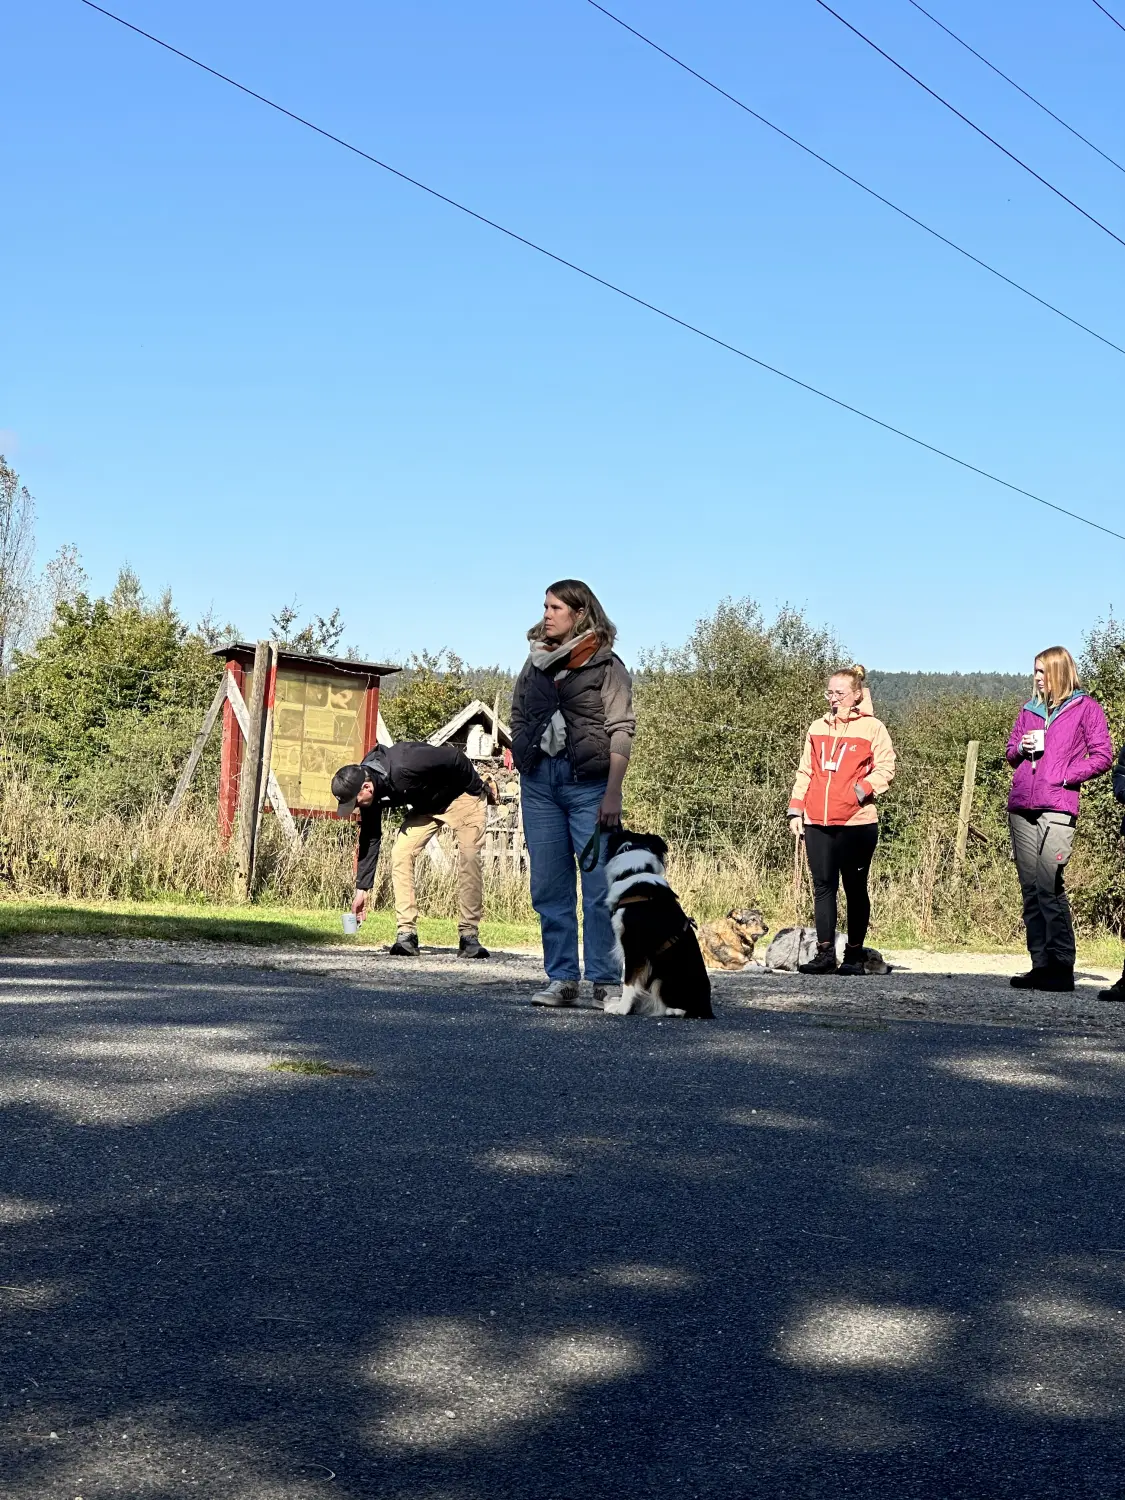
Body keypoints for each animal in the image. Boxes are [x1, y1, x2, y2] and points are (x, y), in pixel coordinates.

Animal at [609, 828, 714, 1026]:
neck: (636, 871)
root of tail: (708, 1009)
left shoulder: (634, 946)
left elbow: (629, 981)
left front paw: (622, 1008)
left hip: (664, 977)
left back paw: (670, 1011)